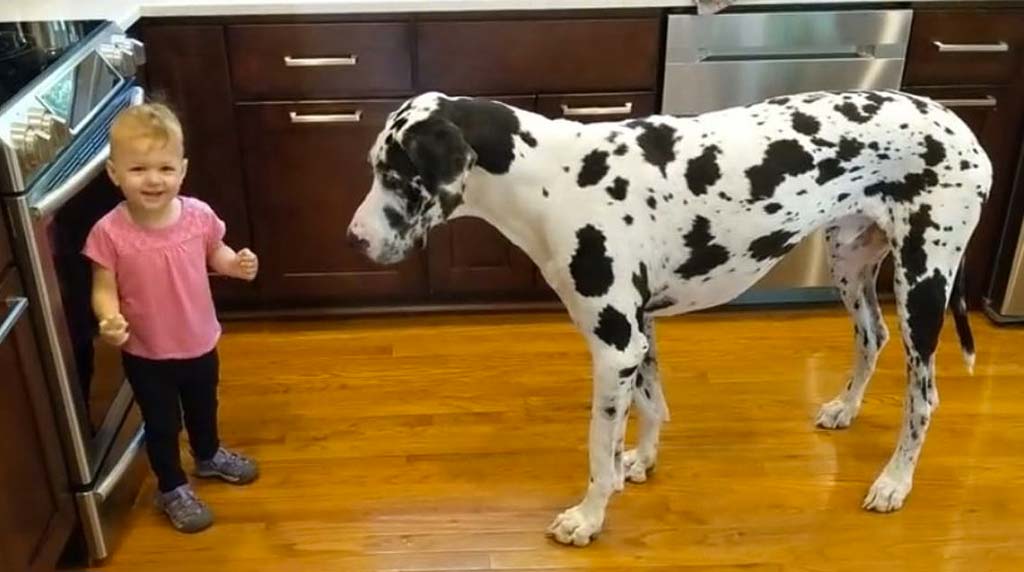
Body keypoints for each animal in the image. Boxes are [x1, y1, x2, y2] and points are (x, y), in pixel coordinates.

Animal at [346, 89, 991, 544]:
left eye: (394, 175)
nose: (353, 239)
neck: (552, 177)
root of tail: (961, 125)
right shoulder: (639, 332)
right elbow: (652, 405)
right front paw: (642, 460)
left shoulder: (613, 344)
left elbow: (597, 446)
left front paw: (588, 517)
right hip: (851, 264)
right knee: (871, 338)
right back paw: (845, 408)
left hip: (924, 284)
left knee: (923, 398)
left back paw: (894, 482)